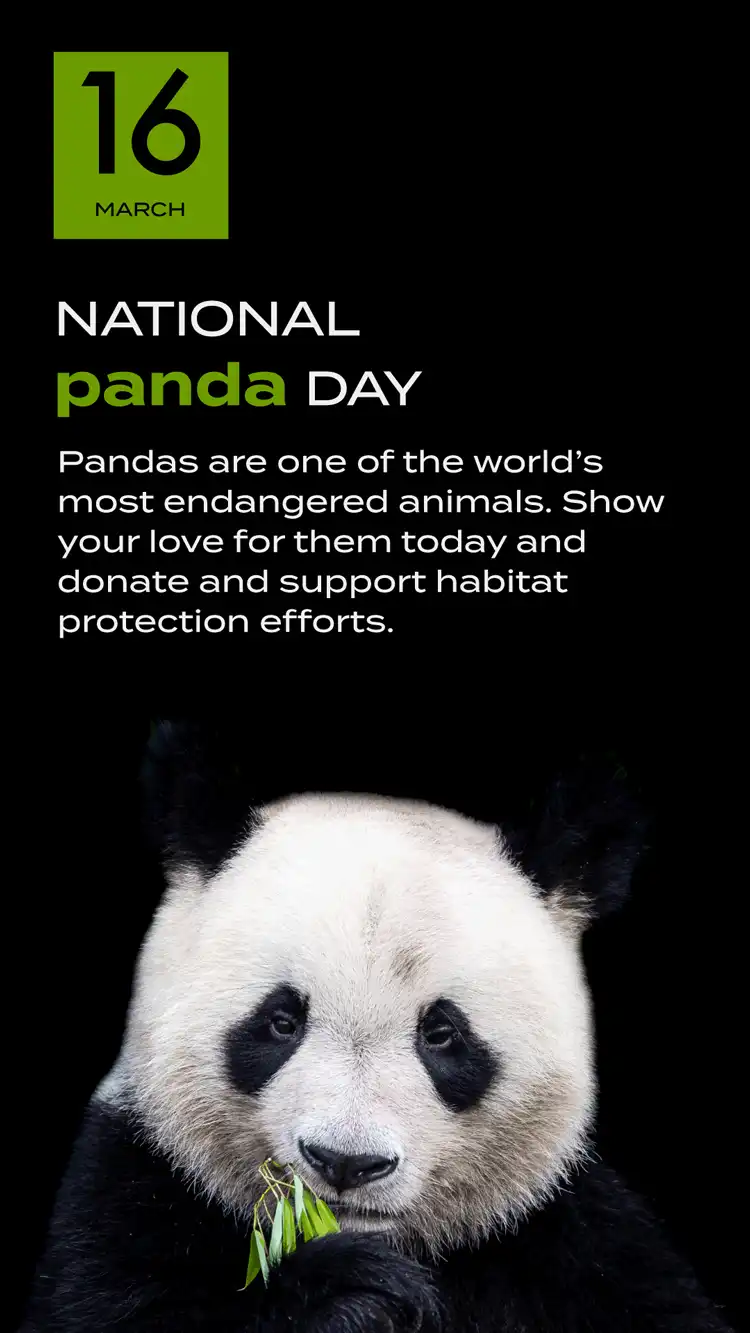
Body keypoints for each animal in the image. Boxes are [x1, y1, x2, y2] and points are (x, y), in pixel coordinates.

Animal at [24, 723, 733, 1332]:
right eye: (281, 1021)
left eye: (442, 1034)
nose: (345, 1162)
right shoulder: (132, 1191)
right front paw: (353, 1296)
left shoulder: (566, 1244)